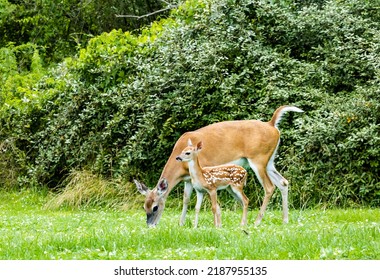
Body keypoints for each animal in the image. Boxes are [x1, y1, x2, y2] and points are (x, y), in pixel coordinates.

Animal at [134, 104, 302, 226]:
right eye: (144, 207)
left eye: (155, 207)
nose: (150, 226)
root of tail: (272, 125)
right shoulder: (188, 179)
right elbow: (186, 199)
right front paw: (181, 224)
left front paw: (216, 224)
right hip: (269, 161)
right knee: (283, 182)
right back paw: (285, 220)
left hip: (258, 159)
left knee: (269, 187)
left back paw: (257, 221)